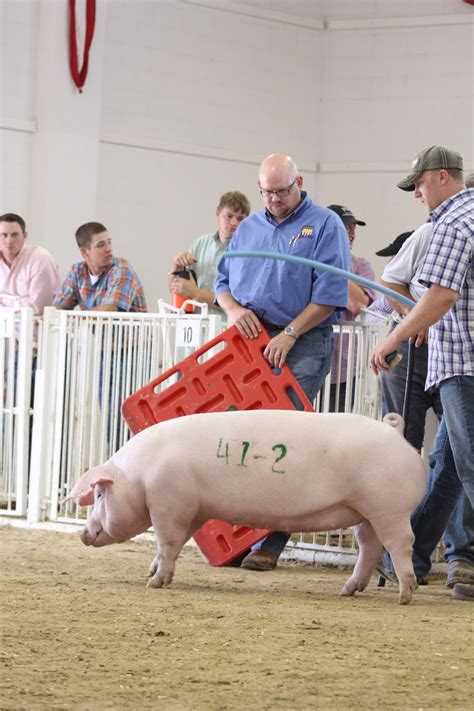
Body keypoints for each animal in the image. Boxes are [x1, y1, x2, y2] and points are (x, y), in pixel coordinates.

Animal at [65, 408, 426, 604]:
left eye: (100, 495)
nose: (84, 533)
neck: (140, 474)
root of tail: (396, 433)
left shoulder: (169, 503)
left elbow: (166, 542)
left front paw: (153, 584)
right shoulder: (192, 510)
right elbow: (174, 546)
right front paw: (153, 573)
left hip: (389, 508)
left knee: (401, 544)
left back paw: (404, 595)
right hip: (366, 513)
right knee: (370, 547)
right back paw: (346, 591)